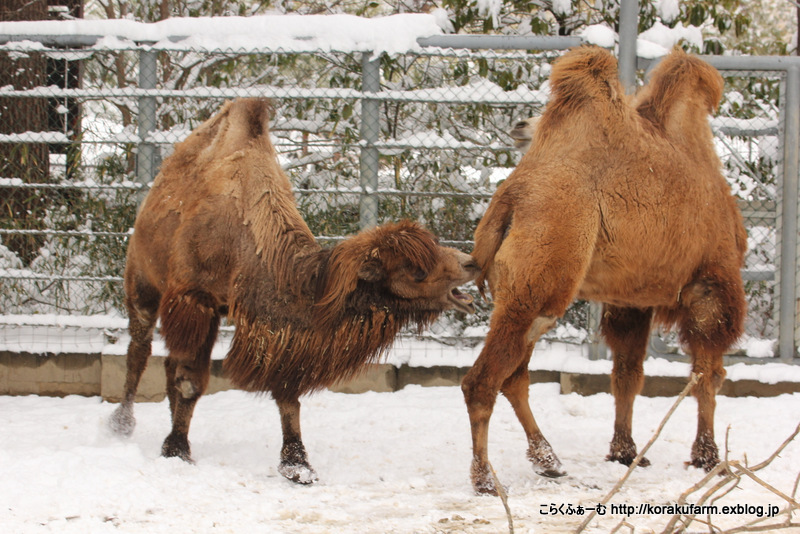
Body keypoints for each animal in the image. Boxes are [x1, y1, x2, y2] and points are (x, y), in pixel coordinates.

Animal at [109, 97, 478, 486]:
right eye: (417, 271)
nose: (470, 263)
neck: (245, 243)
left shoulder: (280, 337)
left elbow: (287, 392)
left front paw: (297, 464)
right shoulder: (195, 301)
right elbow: (191, 381)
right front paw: (176, 449)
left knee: (166, 362)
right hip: (142, 283)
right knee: (139, 350)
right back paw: (122, 423)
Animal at [466, 48, 748, 496]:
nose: (521, 126)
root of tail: (509, 198)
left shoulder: (633, 298)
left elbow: (627, 374)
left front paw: (625, 451)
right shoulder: (711, 284)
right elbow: (708, 374)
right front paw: (708, 457)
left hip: (526, 290)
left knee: (514, 375)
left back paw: (549, 461)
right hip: (543, 275)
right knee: (482, 381)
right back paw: (486, 480)